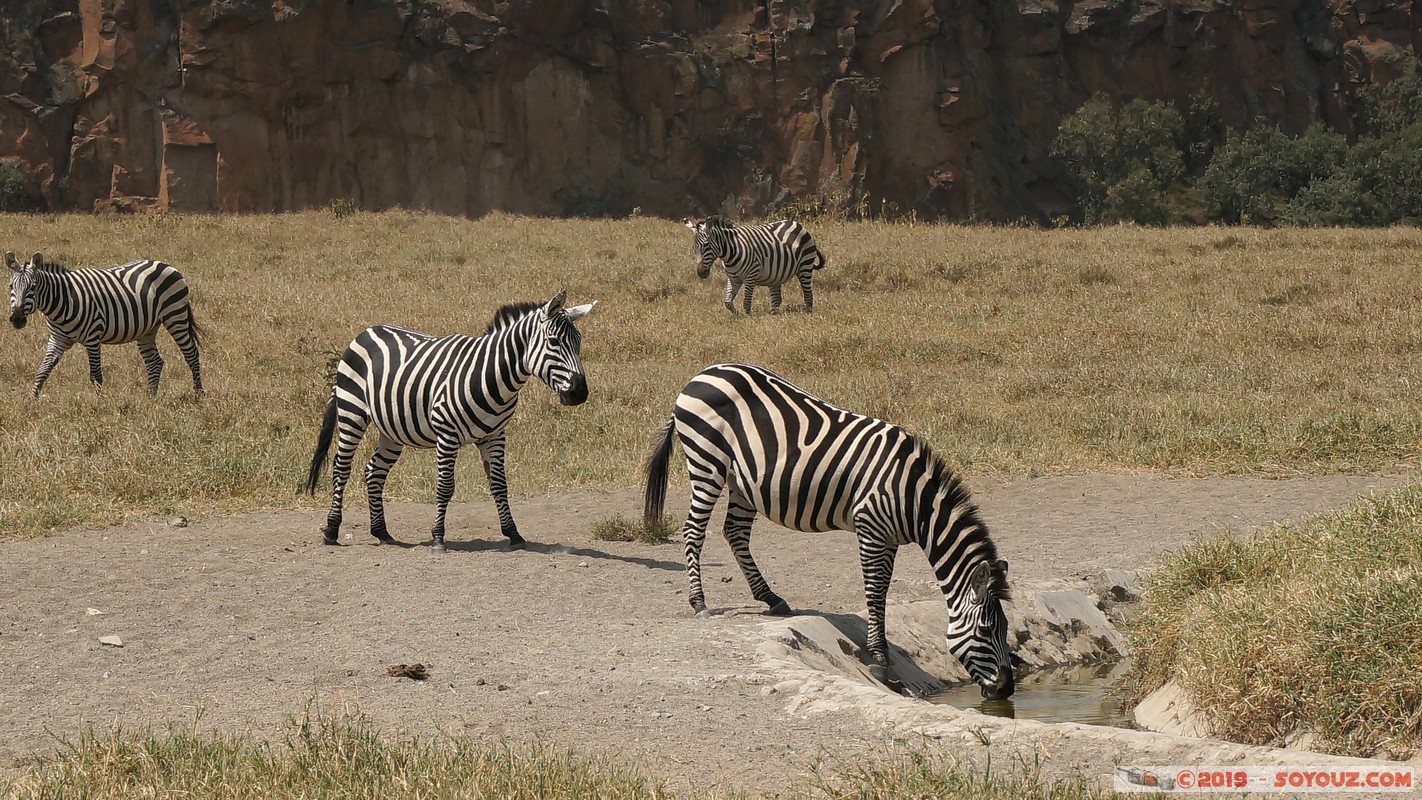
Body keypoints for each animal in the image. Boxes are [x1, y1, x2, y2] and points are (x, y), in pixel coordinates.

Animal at [6, 250, 206, 400]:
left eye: (33, 287)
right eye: (10, 286)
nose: (17, 319)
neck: (62, 300)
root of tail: (165, 264)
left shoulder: (93, 337)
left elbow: (95, 375)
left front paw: (99, 403)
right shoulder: (58, 340)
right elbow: (43, 369)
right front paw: (32, 400)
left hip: (175, 315)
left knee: (191, 353)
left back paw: (199, 394)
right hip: (147, 328)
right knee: (154, 361)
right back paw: (150, 396)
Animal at [308, 291, 597, 554]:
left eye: (579, 342)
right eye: (554, 341)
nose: (579, 393)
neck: (492, 375)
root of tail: (366, 332)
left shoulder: (495, 436)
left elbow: (500, 485)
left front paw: (513, 534)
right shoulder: (447, 435)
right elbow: (445, 487)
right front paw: (438, 537)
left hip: (392, 429)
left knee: (374, 471)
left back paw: (381, 531)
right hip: (352, 412)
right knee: (341, 467)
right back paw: (332, 529)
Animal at [639, 366, 1018, 699]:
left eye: (1006, 629)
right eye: (986, 630)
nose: (1006, 690)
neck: (915, 500)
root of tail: (699, 376)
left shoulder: (890, 539)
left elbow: (883, 590)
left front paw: (882, 652)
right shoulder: (870, 528)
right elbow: (875, 592)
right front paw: (879, 659)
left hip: (741, 480)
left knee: (735, 532)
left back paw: (771, 598)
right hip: (707, 462)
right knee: (694, 530)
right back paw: (699, 602)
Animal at [682, 215, 830, 316]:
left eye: (706, 245)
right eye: (694, 248)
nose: (701, 273)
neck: (730, 253)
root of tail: (797, 223)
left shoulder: (750, 276)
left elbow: (746, 301)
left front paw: (747, 318)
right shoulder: (733, 278)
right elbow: (728, 302)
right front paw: (737, 315)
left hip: (805, 266)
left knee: (808, 293)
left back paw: (808, 312)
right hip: (775, 275)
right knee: (777, 299)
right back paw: (773, 315)